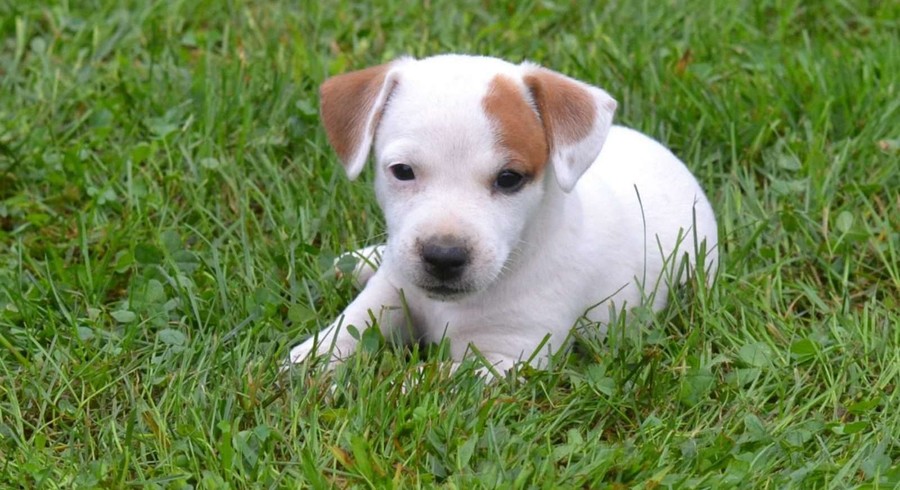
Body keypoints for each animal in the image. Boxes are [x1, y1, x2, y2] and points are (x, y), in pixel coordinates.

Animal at [286, 54, 716, 376]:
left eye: (509, 179)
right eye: (402, 171)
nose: (444, 256)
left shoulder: (509, 357)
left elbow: (437, 379)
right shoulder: (392, 294)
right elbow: (349, 326)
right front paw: (307, 362)